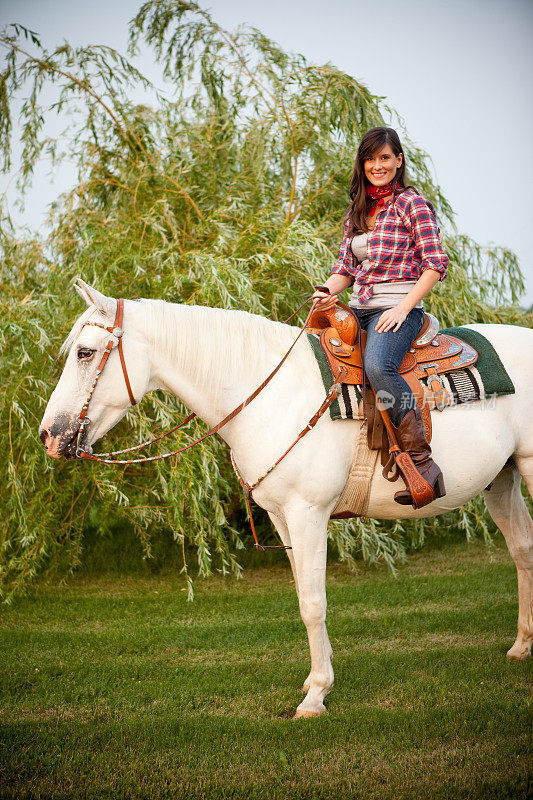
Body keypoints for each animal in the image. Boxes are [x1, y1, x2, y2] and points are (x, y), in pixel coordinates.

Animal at [38, 278, 532, 716]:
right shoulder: (282, 518)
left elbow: (314, 604)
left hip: (526, 466)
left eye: (85, 352)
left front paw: (315, 697)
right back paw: (521, 645)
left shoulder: (307, 513)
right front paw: (316, 679)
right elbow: (302, 597)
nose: (48, 436)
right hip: (502, 478)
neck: (268, 394)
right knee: (522, 549)